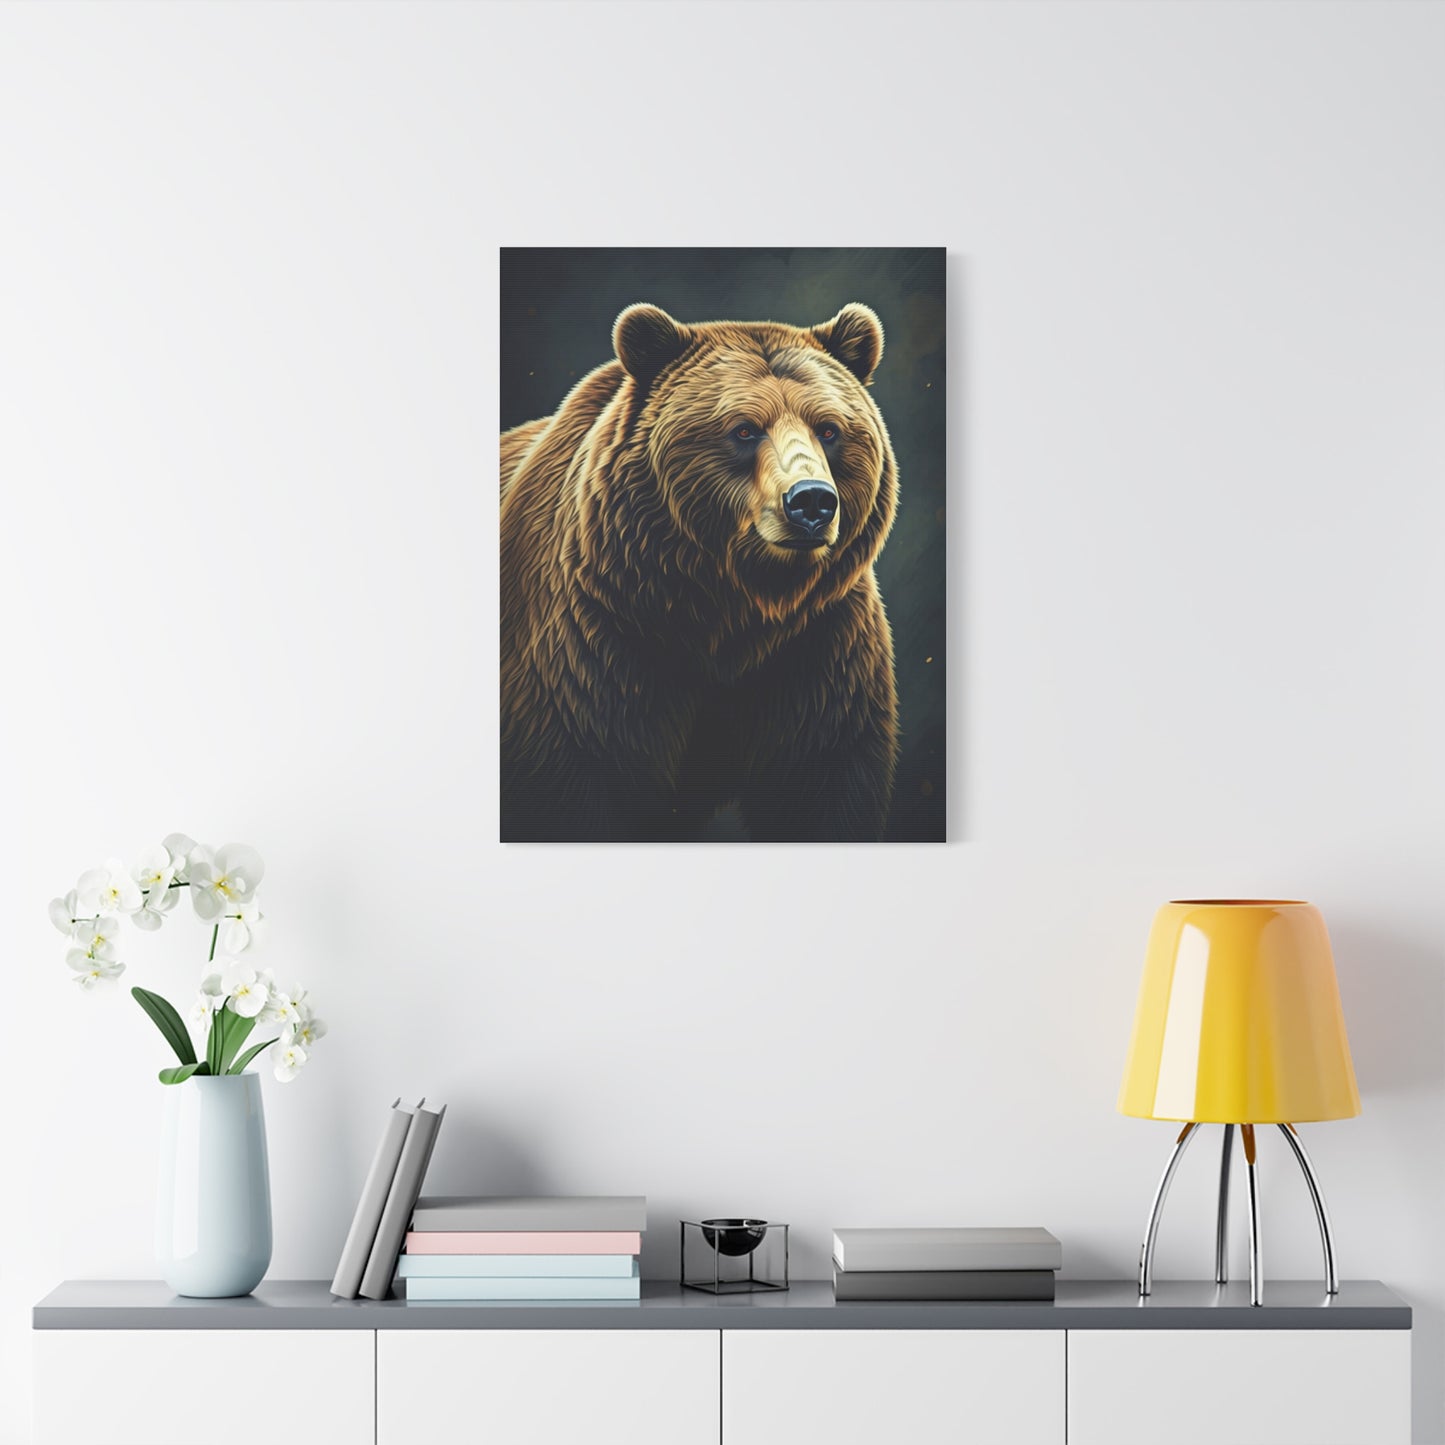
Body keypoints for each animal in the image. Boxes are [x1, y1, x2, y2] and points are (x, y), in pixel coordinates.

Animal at [500, 302, 900, 842]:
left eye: (830, 429)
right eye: (745, 428)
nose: (811, 501)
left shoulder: (820, 650)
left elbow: (824, 786)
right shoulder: (594, 645)